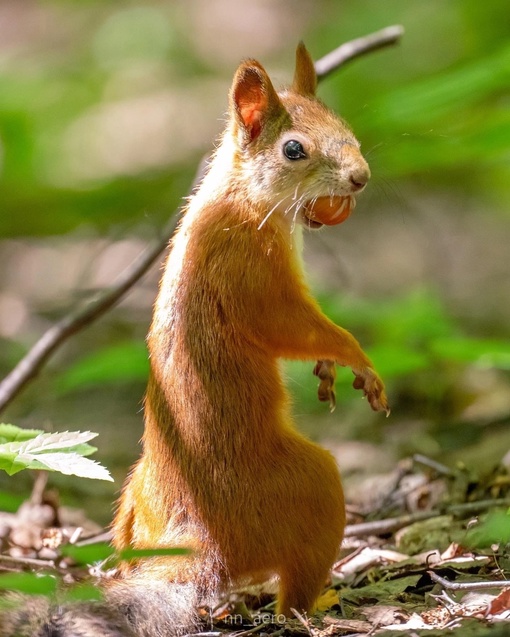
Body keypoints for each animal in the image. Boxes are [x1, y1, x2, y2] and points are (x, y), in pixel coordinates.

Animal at [1, 43, 388, 636]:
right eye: (293, 149)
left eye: (342, 124)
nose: (360, 177)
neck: (241, 195)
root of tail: (201, 542)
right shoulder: (248, 264)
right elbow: (287, 325)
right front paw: (351, 354)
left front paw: (329, 366)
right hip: (314, 489)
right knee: (295, 585)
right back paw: (316, 602)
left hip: (133, 497)